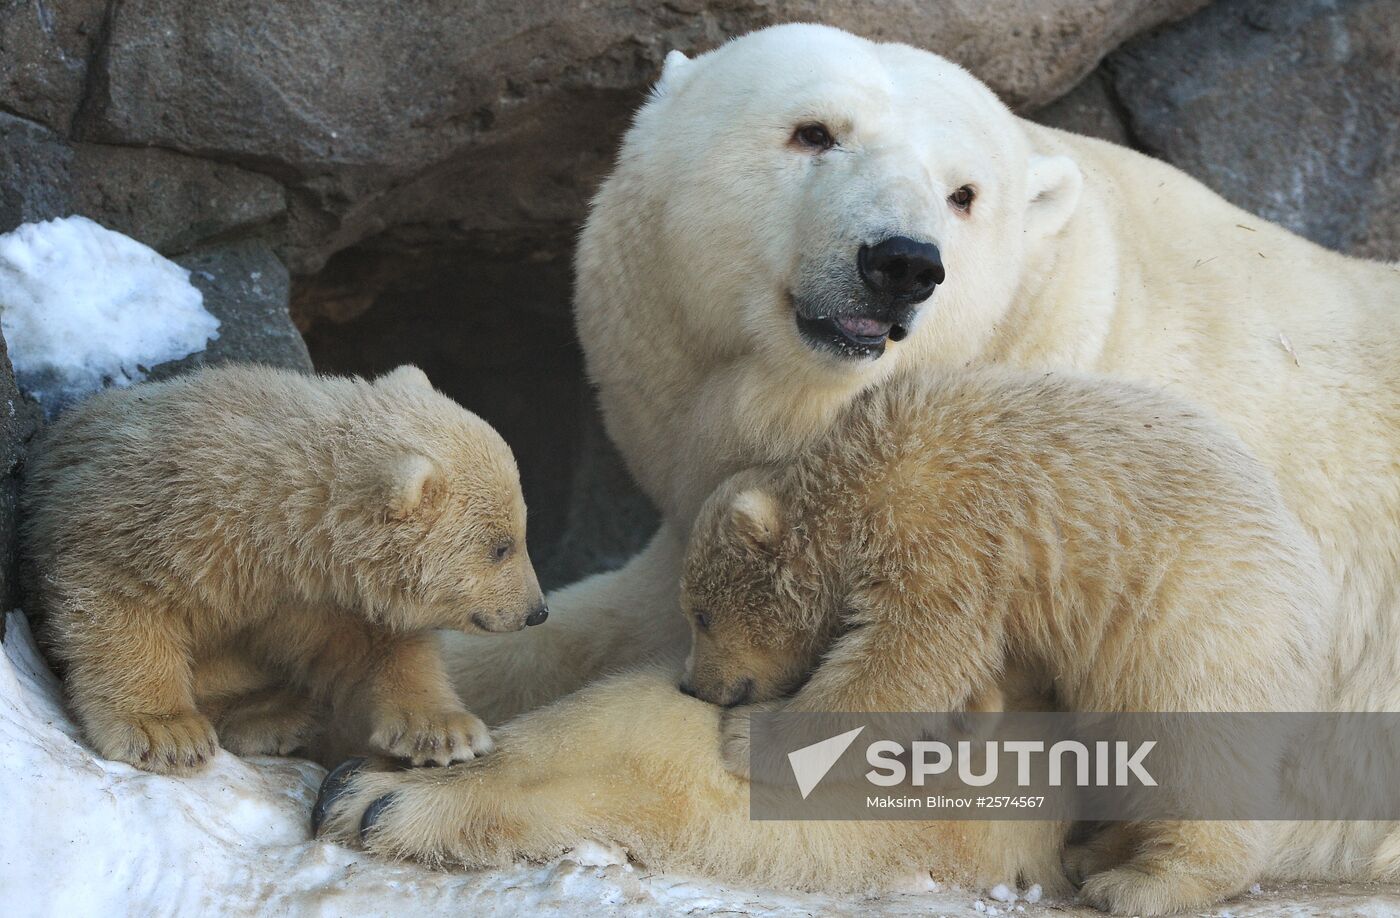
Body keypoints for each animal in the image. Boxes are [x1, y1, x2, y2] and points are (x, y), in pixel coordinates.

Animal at [22, 363, 548, 774]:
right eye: (500, 547)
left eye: (519, 533)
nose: (537, 611)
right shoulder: (157, 519)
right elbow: (117, 598)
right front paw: (166, 733)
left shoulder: (318, 595)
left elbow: (379, 647)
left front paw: (446, 732)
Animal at [675, 369, 1330, 914]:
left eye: (700, 615)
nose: (691, 685)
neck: (855, 474)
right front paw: (960, 725)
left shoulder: (938, 528)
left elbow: (907, 657)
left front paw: (748, 736)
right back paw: (1096, 851)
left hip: (1201, 625)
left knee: (1194, 747)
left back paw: (1140, 883)